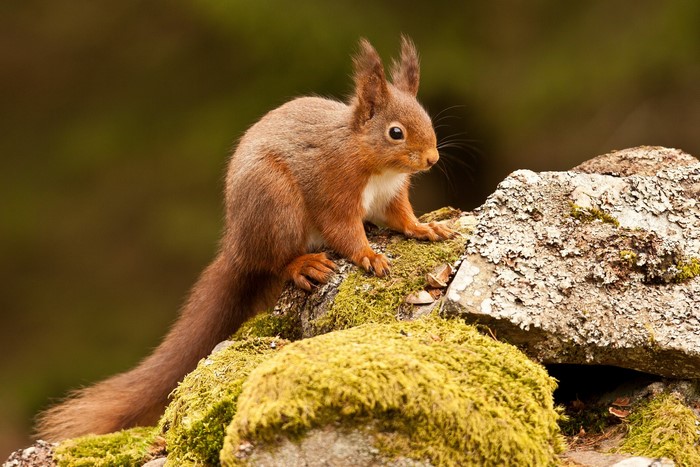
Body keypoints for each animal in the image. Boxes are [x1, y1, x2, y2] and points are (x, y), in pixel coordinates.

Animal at [36, 36, 454, 441]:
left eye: (427, 119)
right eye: (395, 132)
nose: (432, 159)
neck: (370, 160)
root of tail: (237, 247)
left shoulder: (391, 195)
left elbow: (401, 217)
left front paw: (426, 228)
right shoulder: (332, 190)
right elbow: (343, 231)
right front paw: (369, 255)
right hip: (276, 207)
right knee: (276, 261)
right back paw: (303, 264)